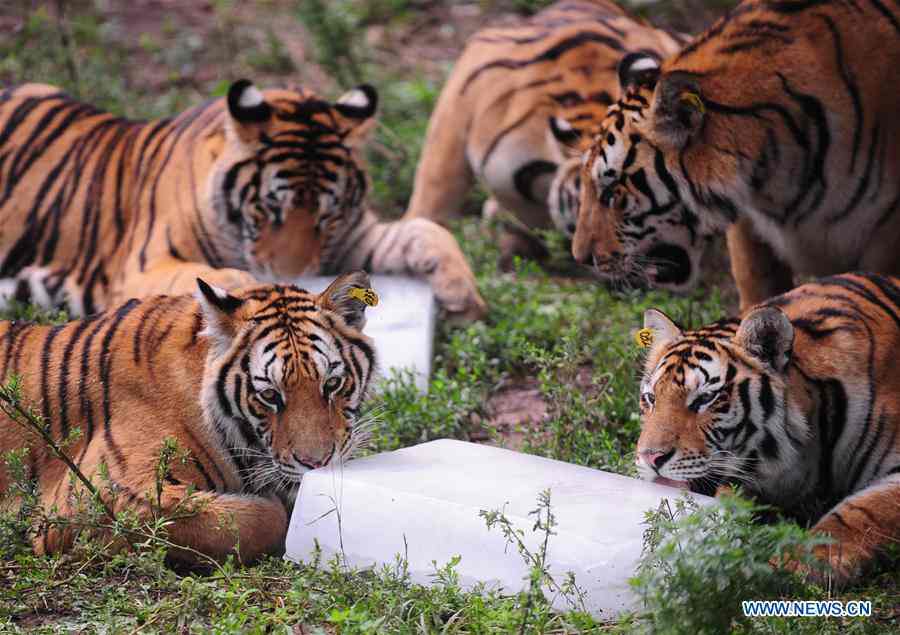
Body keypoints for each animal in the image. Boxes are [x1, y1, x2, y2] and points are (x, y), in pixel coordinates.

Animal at [0, 81, 486, 320]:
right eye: (269, 209)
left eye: (326, 216)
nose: (298, 275)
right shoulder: (140, 267)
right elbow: (202, 275)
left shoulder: (350, 238)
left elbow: (424, 229)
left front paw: (464, 294)